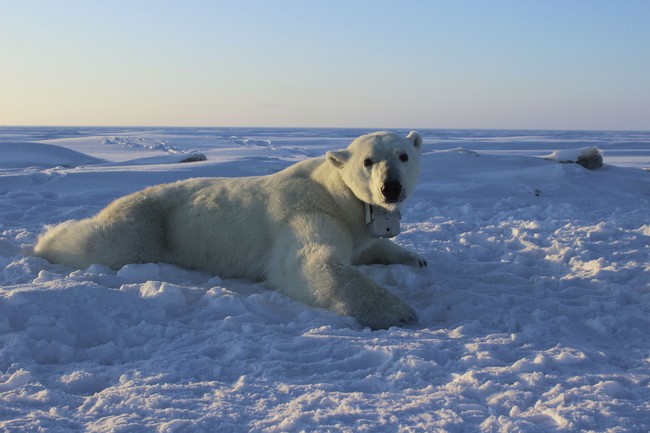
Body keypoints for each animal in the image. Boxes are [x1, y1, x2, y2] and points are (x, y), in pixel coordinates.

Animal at [38, 131, 428, 328]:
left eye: (403, 155)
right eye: (368, 161)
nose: (390, 188)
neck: (335, 193)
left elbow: (369, 246)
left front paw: (415, 258)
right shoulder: (306, 211)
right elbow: (306, 262)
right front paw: (399, 310)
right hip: (148, 224)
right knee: (102, 243)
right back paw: (44, 241)